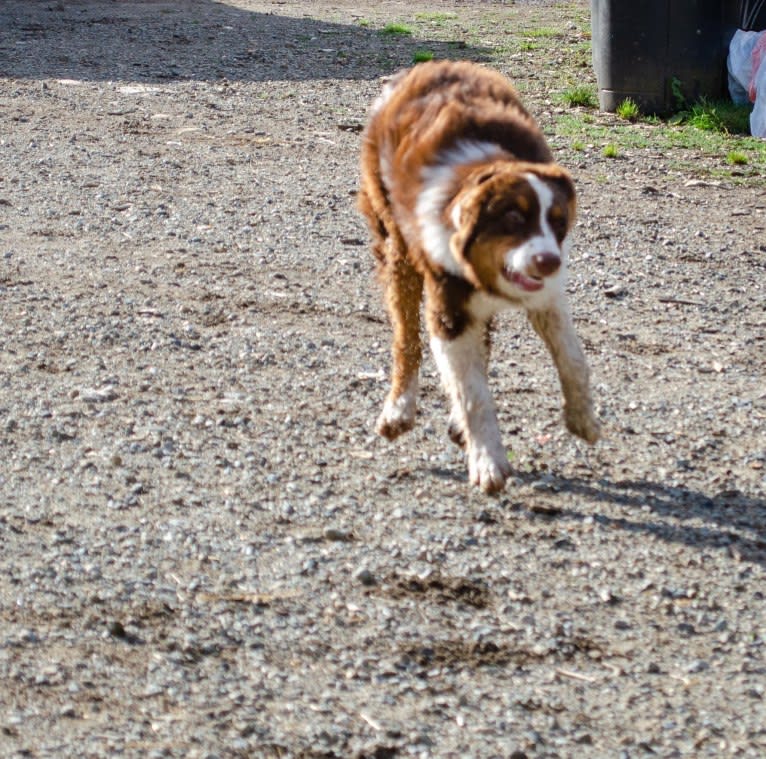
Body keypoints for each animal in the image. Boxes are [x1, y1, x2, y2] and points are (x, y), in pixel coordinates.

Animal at [356, 62, 604, 496]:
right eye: (514, 218)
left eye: (558, 222)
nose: (549, 262)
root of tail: (425, 66)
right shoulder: (449, 309)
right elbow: (473, 393)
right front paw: (488, 460)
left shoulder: (547, 299)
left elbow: (573, 359)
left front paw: (583, 418)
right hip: (398, 252)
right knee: (407, 340)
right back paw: (399, 410)